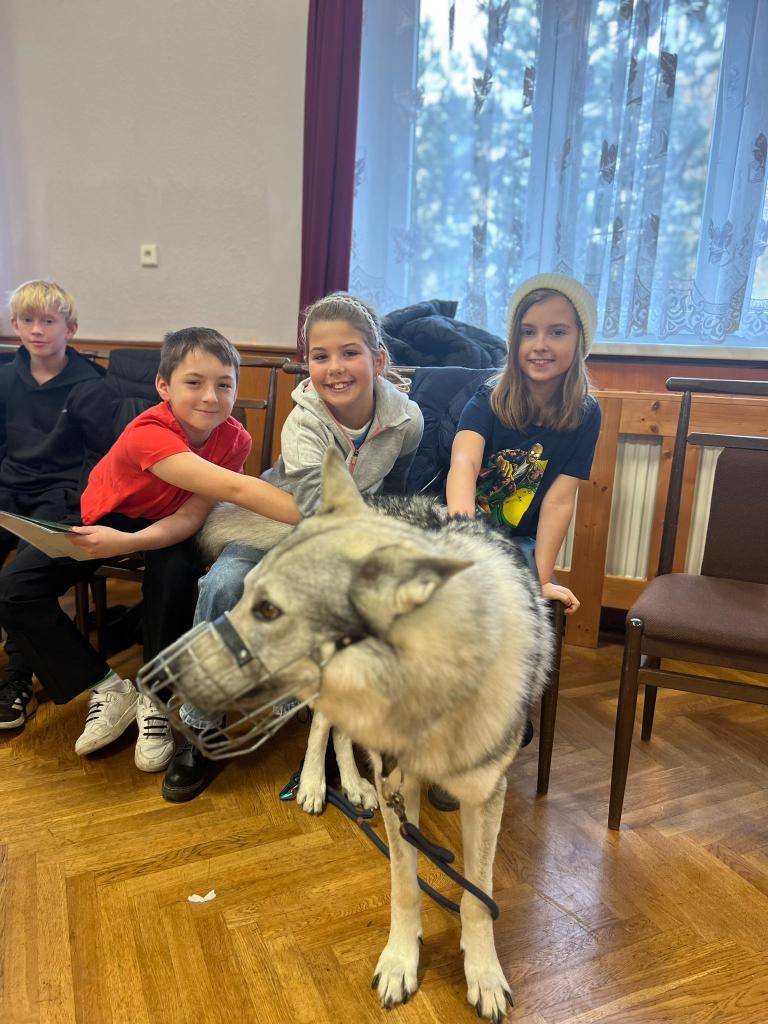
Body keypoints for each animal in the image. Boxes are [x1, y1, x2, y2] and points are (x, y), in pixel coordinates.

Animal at [138, 448, 553, 1021]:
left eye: (268, 610)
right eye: (247, 597)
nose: (162, 676)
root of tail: (376, 498)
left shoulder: (483, 798)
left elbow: (477, 896)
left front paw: (484, 974)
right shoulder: (399, 791)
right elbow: (405, 887)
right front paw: (401, 961)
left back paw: (353, 786)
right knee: (321, 730)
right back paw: (319, 785)